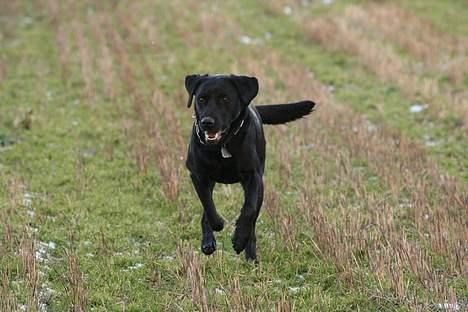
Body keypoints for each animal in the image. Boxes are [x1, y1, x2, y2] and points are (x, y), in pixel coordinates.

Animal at [184, 73, 314, 260]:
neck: (223, 146)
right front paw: (217, 224)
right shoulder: (198, 175)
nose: (206, 122)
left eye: (225, 99)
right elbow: (207, 204)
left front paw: (239, 239)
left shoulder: (253, 177)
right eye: (201, 99)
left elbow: (249, 209)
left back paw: (250, 254)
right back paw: (208, 242)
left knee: (252, 222)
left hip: (260, 187)